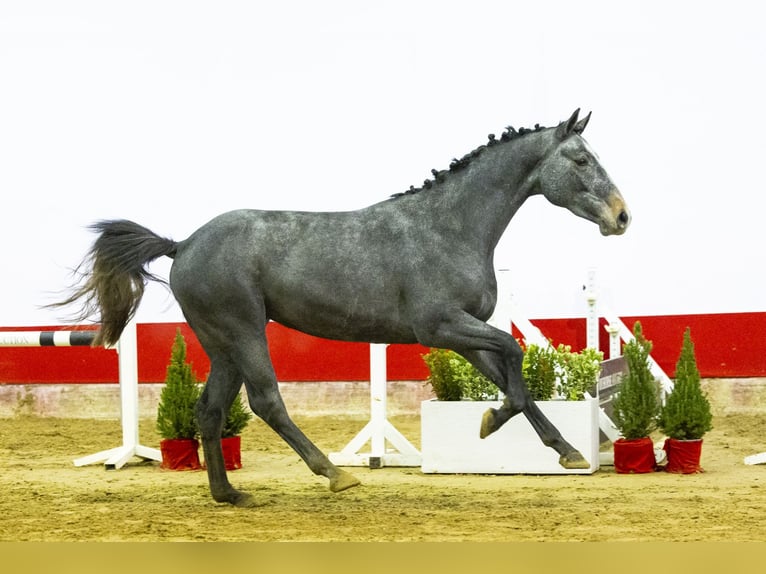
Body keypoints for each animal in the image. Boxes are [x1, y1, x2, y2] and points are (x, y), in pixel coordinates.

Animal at [55, 109, 632, 508]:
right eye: (581, 159)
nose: (622, 216)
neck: (449, 227)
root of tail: (183, 245)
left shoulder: (463, 333)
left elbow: (516, 379)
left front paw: (563, 449)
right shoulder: (441, 327)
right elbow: (513, 352)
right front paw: (493, 423)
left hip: (222, 345)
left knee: (210, 410)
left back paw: (230, 495)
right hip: (243, 332)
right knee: (267, 402)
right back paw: (335, 474)